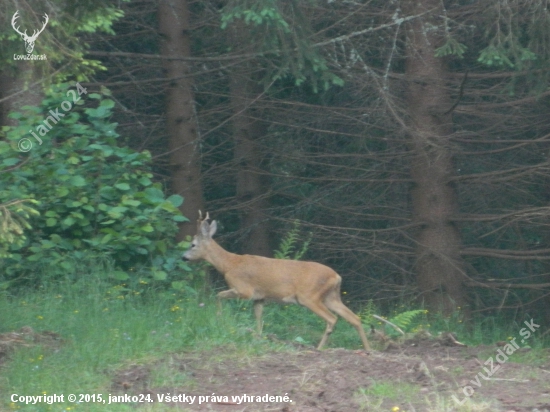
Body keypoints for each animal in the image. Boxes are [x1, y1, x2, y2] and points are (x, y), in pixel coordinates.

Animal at [183, 212, 374, 350]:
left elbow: (218, 295)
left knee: (332, 319)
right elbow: (258, 316)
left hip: (309, 296)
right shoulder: (259, 297)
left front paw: (219, 318)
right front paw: (258, 336)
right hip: (331, 296)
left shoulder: (244, 289)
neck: (228, 265)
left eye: (193, 245)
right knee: (354, 318)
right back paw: (367, 349)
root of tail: (337, 276)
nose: (184, 257)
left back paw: (319, 348)